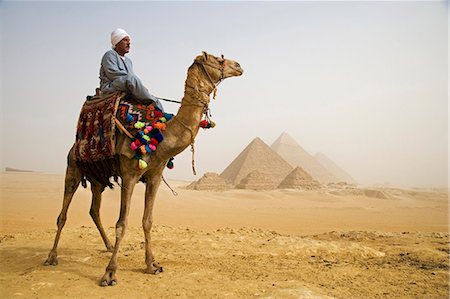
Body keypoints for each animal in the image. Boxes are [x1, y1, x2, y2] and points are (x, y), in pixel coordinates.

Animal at [44, 52, 244, 288]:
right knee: (63, 214)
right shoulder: (129, 175)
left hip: (97, 179)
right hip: (73, 168)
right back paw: (51, 257)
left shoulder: (155, 177)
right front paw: (109, 274)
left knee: (94, 209)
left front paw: (152, 265)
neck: (161, 137)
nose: (238, 66)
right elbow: (122, 223)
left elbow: (147, 221)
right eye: (218, 59)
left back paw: (108, 246)